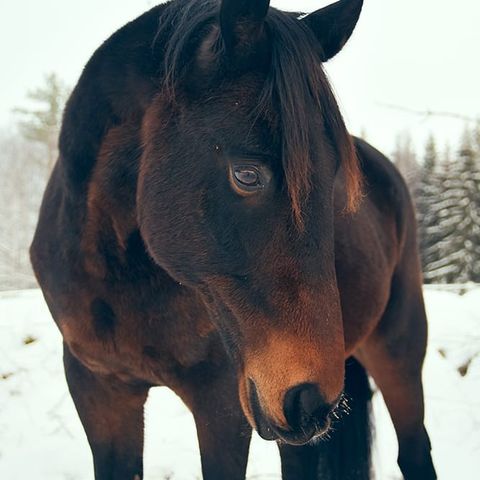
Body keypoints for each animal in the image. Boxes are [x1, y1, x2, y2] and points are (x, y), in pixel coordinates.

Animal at [29, 0, 436, 480]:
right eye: (246, 175)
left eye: (335, 174)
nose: (311, 400)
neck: (121, 277)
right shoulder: (101, 393)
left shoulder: (221, 404)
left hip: (397, 350)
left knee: (415, 451)